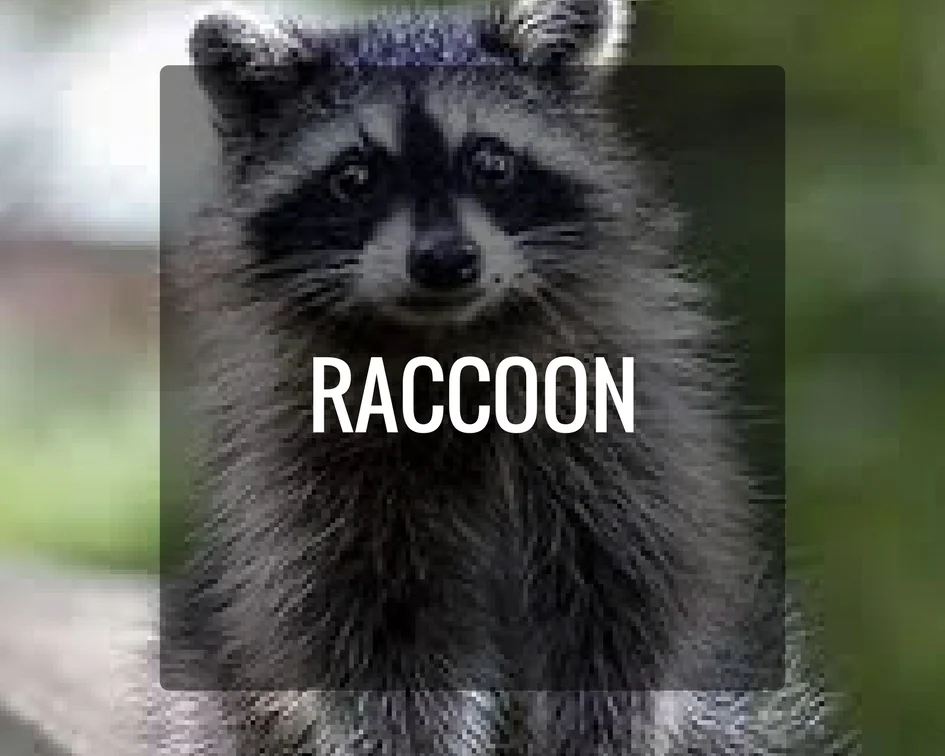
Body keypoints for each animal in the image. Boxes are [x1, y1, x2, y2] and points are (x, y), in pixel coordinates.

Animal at [150, 1, 858, 754]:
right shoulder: (316, 484)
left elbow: (620, 622)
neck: (445, 342)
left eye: (490, 162)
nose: (444, 261)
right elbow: (377, 653)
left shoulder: (617, 449)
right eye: (354, 178)